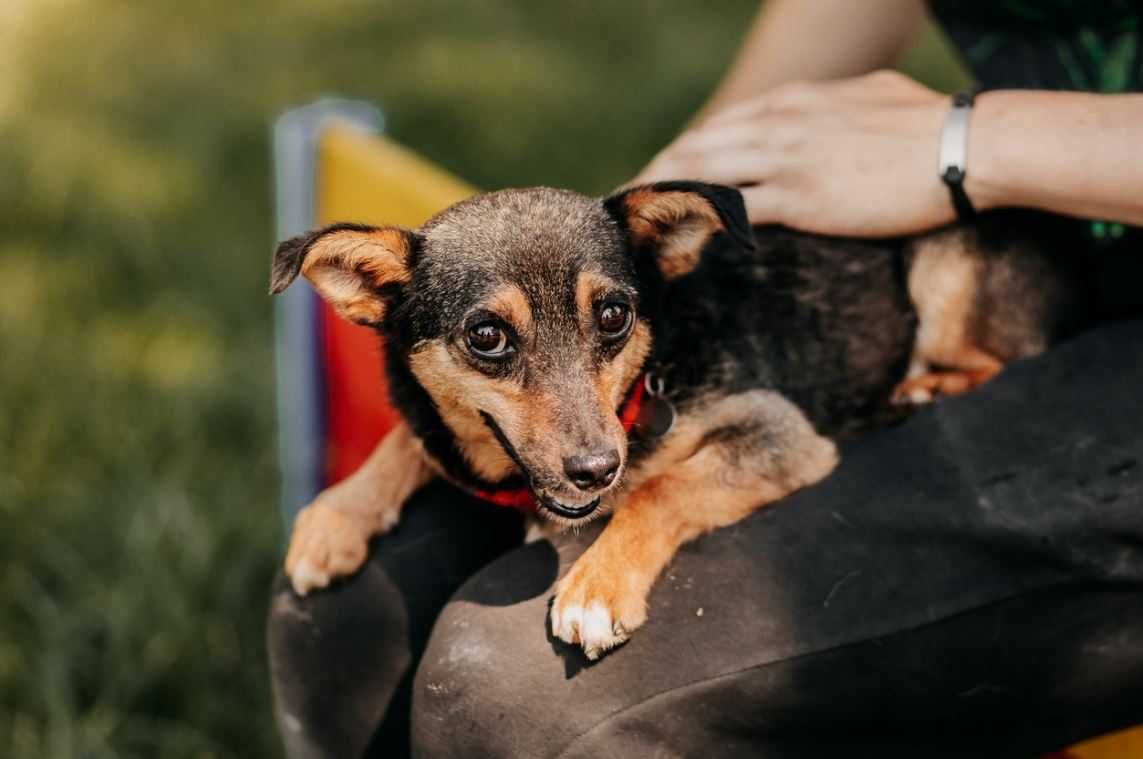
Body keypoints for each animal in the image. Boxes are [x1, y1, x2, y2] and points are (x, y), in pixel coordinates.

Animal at [267, 182, 1078, 658]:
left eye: (614, 315)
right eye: (486, 336)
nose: (598, 468)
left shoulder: (778, 432)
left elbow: (663, 488)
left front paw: (597, 586)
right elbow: (410, 438)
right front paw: (337, 516)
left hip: (946, 266)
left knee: (996, 353)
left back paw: (925, 389)